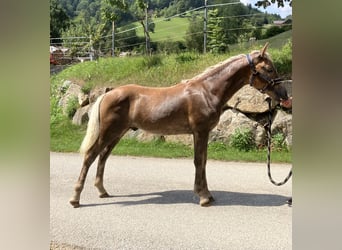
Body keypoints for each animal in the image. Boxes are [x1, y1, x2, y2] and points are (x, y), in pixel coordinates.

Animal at [70, 44, 292, 208]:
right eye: (269, 69)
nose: (284, 96)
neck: (207, 91)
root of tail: (108, 93)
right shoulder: (200, 131)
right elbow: (199, 161)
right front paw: (203, 197)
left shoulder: (202, 133)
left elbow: (203, 161)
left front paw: (207, 194)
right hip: (108, 132)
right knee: (90, 156)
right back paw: (75, 198)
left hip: (116, 134)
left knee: (103, 157)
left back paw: (102, 191)